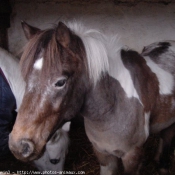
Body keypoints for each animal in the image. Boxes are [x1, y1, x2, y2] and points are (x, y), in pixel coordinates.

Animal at [9, 20, 175, 175]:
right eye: (25, 78)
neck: (112, 108)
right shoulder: (103, 153)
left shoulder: (132, 156)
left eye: (60, 82)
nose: (19, 146)